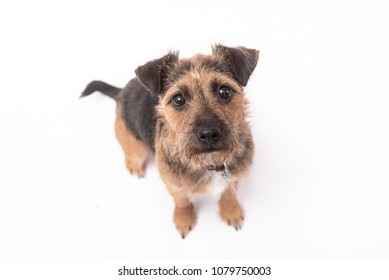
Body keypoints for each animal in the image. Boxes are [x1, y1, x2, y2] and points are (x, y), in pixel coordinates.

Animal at [80, 44, 260, 237]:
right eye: (178, 99)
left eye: (224, 91)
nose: (209, 134)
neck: (209, 164)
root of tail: (121, 92)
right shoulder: (173, 184)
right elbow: (182, 201)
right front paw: (183, 218)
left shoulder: (235, 176)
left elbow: (229, 192)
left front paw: (231, 210)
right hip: (136, 146)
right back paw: (134, 165)